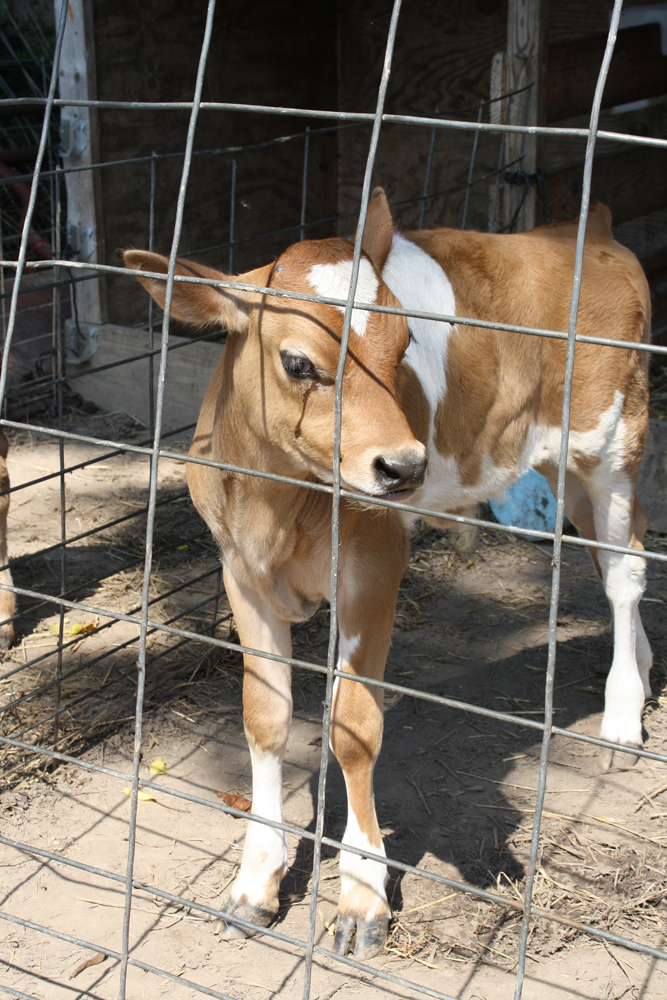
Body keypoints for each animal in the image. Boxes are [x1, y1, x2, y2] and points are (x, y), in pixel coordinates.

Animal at [125, 188, 652, 960]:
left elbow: (351, 725)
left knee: (624, 572)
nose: (404, 468)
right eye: (297, 363)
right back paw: (640, 673)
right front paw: (256, 881)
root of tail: (586, 228)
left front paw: (361, 894)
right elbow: (264, 718)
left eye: (403, 347)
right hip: (564, 463)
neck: (276, 503)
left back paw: (618, 717)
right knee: (612, 552)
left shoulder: (373, 568)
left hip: (610, 439)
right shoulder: (240, 573)